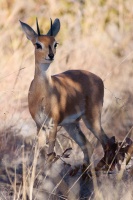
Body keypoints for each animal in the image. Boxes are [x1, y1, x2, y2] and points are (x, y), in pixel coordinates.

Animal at [19, 18, 110, 166]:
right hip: (71, 124)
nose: (50, 55)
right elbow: (38, 154)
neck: (42, 95)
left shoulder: (53, 124)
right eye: (38, 44)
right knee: (88, 145)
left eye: (55, 43)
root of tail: (98, 78)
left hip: (92, 119)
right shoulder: (40, 125)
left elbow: (50, 155)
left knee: (107, 142)